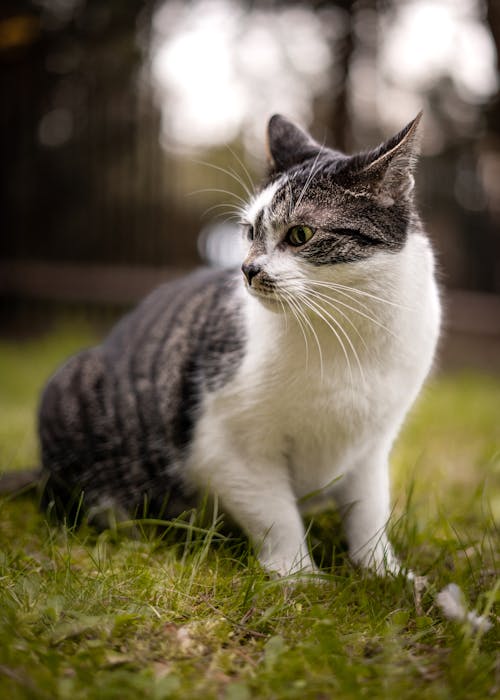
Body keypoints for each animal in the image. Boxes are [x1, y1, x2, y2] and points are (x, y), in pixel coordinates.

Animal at [36, 113, 442, 576]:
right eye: (250, 232)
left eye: (300, 234)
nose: (248, 270)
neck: (345, 333)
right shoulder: (229, 445)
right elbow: (275, 514)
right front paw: (299, 578)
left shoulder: (372, 447)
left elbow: (369, 514)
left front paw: (384, 574)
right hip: (69, 387)